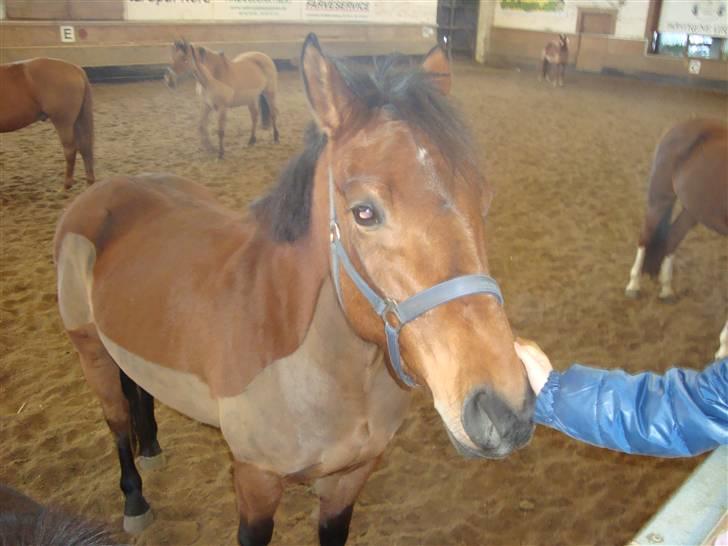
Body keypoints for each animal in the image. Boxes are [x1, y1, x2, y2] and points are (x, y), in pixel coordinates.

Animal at [0, 57, 95, 189]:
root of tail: (74, 68)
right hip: (76, 122)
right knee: (85, 148)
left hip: (63, 122)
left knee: (70, 150)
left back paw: (67, 184)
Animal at [55, 35, 536, 544]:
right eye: (364, 212)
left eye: (484, 199)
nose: (504, 410)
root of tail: (105, 191)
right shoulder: (255, 481)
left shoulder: (349, 480)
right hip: (90, 351)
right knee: (116, 420)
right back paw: (135, 498)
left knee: (138, 388)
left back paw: (150, 448)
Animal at [624, 118, 728, 356]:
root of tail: (680, 126)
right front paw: (724, 349)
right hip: (660, 197)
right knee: (644, 237)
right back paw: (633, 286)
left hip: (693, 209)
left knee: (672, 238)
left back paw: (666, 290)